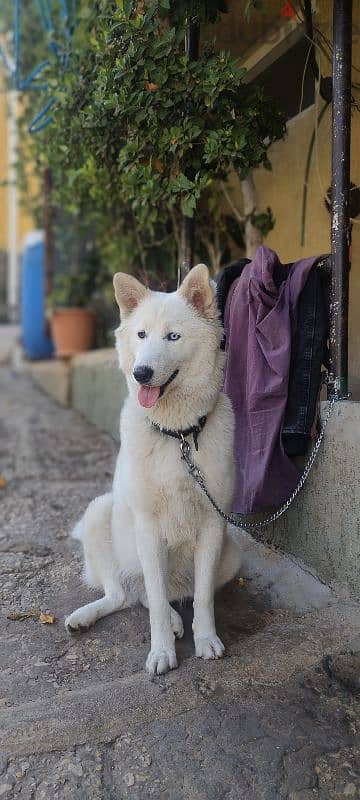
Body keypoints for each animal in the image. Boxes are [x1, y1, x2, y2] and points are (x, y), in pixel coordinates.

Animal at [65, 266, 240, 672]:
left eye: (173, 336)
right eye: (141, 335)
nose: (141, 373)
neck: (177, 436)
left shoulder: (213, 523)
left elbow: (203, 598)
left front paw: (206, 640)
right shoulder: (147, 526)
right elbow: (157, 603)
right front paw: (162, 652)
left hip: (232, 552)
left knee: (149, 594)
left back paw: (178, 619)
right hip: (101, 513)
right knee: (126, 594)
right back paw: (85, 617)